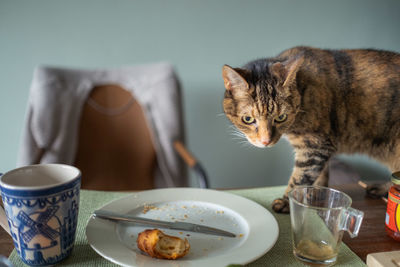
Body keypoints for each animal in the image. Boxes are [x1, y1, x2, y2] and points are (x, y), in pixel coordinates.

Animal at [222, 46, 400, 214]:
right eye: (248, 119)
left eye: (281, 117)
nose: (266, 141)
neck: (303, 90)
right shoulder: (323, 146)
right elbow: (321, 173)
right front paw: (316, 193)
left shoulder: (315, 145)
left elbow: (300, 177)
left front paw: (287, 201)